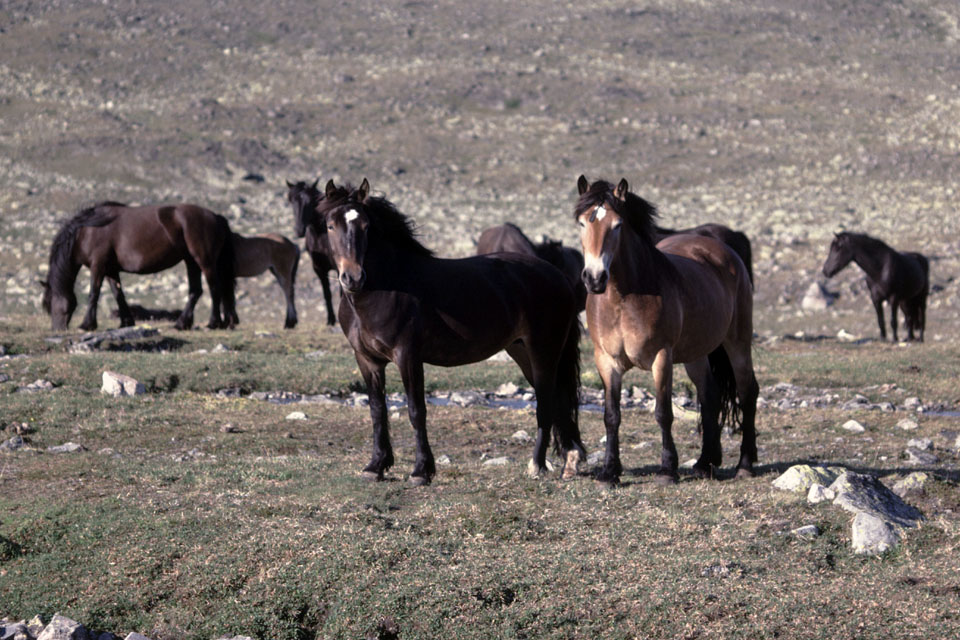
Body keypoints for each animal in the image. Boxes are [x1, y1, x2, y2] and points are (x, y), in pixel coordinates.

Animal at [41, 201, 238, 332]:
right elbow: (118, 294)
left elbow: (93, 294)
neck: (86, 231)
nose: (57, 330)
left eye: (51, 304)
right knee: (196, 291)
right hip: (191, 262)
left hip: (204, 261)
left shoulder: (98, 266)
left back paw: (213, 323)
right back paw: (182, 324)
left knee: (214, 289)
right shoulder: (111, 270)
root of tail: (216, 217)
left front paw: (87, 324)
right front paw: (126, 322)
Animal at [284, 178, 338, 324]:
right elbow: (327, 294)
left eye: (311, 202)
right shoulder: (319, 268)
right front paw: (331, 320)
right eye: (292, 201)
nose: (299, 230)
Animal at [318, 179, 584, 484]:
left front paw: (421, 471)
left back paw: (537, 465)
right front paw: (376, 465)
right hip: (522, 351)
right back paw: (570, 459)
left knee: (545, 403)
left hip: (543, 351)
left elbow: (416, 411)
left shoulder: (408, 357)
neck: (385, 289)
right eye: (330, 225)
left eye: (365, 226)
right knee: (556, 401)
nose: (352, 278)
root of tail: (559, 276)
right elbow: (377, 410)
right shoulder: (367, 360)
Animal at [568, 175, 756, 484]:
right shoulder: (606, 361)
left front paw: (667, 469)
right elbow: (611, 416)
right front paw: (609, 472)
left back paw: (745, 464)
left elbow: (663, 413)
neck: (623, 299)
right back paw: (705, 463)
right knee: (710, 395)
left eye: (617, 225)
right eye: (582, 223)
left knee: (747, 392)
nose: (594, 278)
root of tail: (723, 252)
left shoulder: (661, 357)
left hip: (737, 342)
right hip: (696, 353)